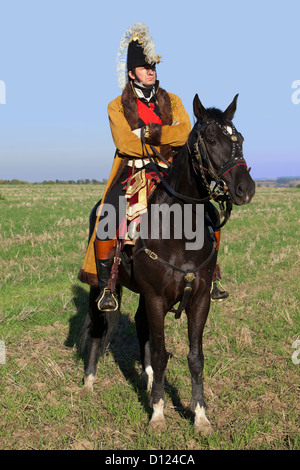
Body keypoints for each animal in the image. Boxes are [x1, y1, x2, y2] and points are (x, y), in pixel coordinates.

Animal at [79, 94, 255, 434]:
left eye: (238, 139)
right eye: (210, 139)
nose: (246, 189)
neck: (179, 229)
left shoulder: (199, 300)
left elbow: (195, 357)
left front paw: (200, 416)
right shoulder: (157, 298)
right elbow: (161, 355)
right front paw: (158, 414)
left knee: (141, 326)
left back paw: (147, 381)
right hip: (101, 285)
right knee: (99, 325)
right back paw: (89, 382)